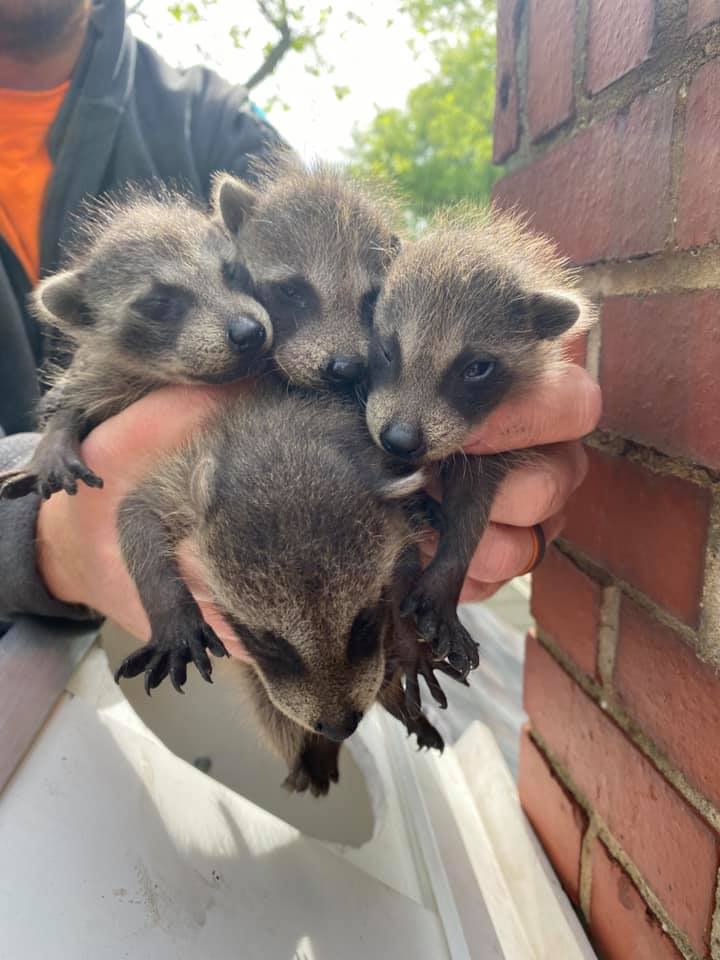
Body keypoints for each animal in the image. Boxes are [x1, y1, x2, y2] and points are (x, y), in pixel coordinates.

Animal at [112, 384, 450, 794]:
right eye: (269, 643)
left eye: (364, 623)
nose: (339, 729)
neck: (282, 440)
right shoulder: (184, 477)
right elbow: (136, 512)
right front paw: (171, 615)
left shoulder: (393, 504)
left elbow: (407, 561)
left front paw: (407, 639)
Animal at [365, 208, 595, 675]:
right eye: (387, 350)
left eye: (476, 369)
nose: (400, 441)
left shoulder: (490, 448)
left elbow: (471, 509)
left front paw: (448, 569)